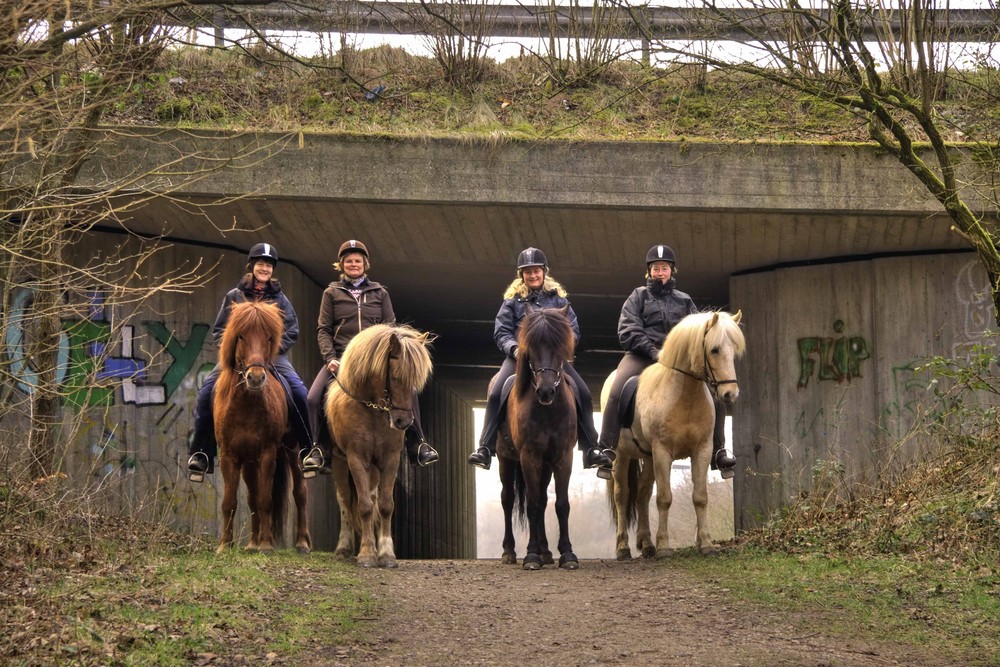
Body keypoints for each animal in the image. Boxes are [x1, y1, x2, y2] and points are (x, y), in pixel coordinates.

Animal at [215, 302, 312, 552]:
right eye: (240, 335)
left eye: (269, 337)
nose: (256, 378)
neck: (247, 404)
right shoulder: (230, 455)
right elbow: (230, 502)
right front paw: (225, 545)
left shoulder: (268, 453)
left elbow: (265, 499)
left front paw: (266, 545)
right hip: (249, 461)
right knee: (252, 498)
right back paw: (251, 543)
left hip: (292, 449)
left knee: (300, 492)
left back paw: (302, 542)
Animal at [320, 324, 430, 568]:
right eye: (395, 377)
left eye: (416, 383)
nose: (402, 422)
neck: (373, 410)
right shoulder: (356, 458)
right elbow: (363, 506)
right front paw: (367, 554)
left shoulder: (390, 459)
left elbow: (385, 505)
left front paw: (387, 554)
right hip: (340, 462)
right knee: (345, 500)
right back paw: (344, 547)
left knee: (373, 498)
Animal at [494, 306, 580, 572]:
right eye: (531, 347)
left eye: (560, 346)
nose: (545, 391)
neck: (547, 411)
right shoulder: (528, 457)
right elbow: (531, 505)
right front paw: (531, 556)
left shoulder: (563, 457)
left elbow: (561, 504)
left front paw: (567, 554)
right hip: (505, 458)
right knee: (507, 500)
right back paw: (509, 552)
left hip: (546, 465)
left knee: (542, 499)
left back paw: (546, 552)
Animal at [600, 312, 744, 560]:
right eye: (714, 349)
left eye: (733, 350)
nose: (730, 394)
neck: (684, 396)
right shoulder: (663, 452)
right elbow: (664, 498)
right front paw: (664, 547)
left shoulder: (702, 450)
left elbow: (700, 497)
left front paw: (705, 544)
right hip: (622, 455)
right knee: (622, 496)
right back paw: (623, 548)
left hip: (648, 458)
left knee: (642, 493)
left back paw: (647, 545)